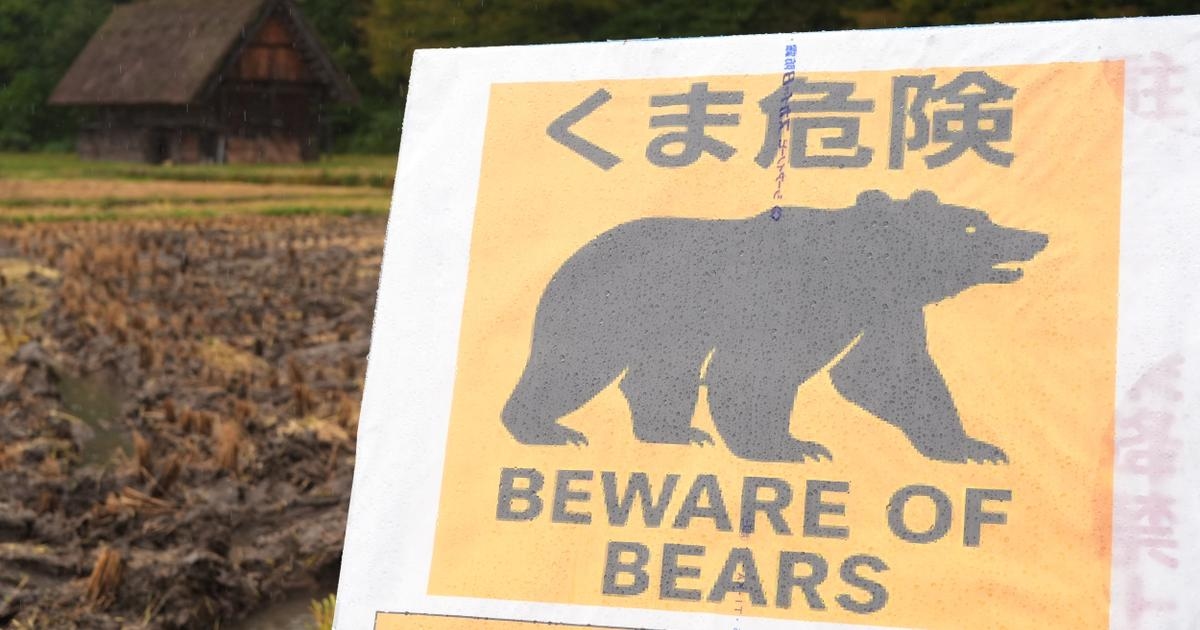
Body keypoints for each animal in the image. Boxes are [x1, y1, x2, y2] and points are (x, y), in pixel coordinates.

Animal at [501, 190, 1048, 463]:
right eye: (976, 224)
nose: (1036, 236)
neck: (861, 269)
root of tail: (573, 252)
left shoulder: (886, 308)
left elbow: (888, 372)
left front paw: (975, 448)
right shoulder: (786, 296)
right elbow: (754, 372)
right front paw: (789, 447)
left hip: (670, 323)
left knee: (660, 374)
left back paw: (676, 433)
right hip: (607, 306)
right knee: (572, 367)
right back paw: (545, 430)